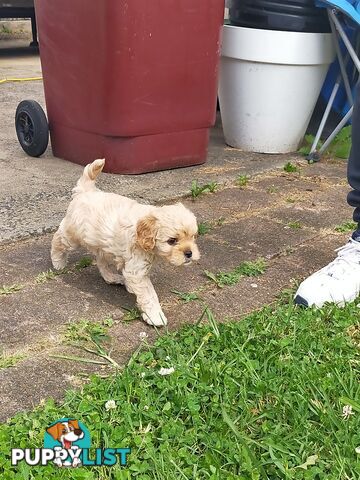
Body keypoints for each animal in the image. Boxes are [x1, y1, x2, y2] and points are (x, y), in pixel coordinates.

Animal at [51, 160, 200, 326]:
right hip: (73, 235)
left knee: (101, 262)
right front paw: (155, 316)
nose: (189, 253)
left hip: (103, 246)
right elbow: (149, 294)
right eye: (172, 241)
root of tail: (86, 191)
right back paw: (57, 262)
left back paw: (112, 278)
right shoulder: (137, 270)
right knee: (58, 239)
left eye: (193, 237)